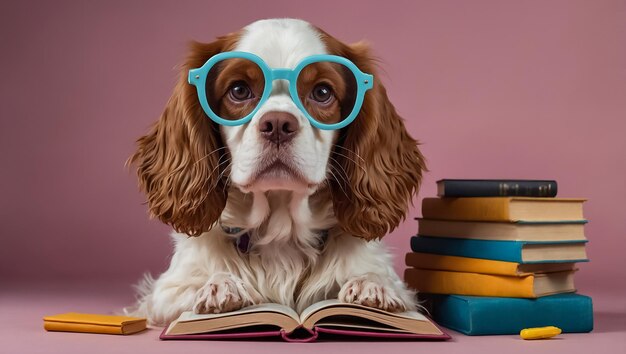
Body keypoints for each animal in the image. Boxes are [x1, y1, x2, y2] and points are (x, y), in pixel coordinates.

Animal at [127, 18, 424, 326]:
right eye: (239, 90)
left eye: (322, 92)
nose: (279, 124)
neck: (282, 235)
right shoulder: (164, 293)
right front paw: (222, 284)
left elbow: (379, 279)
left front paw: (372, 284)